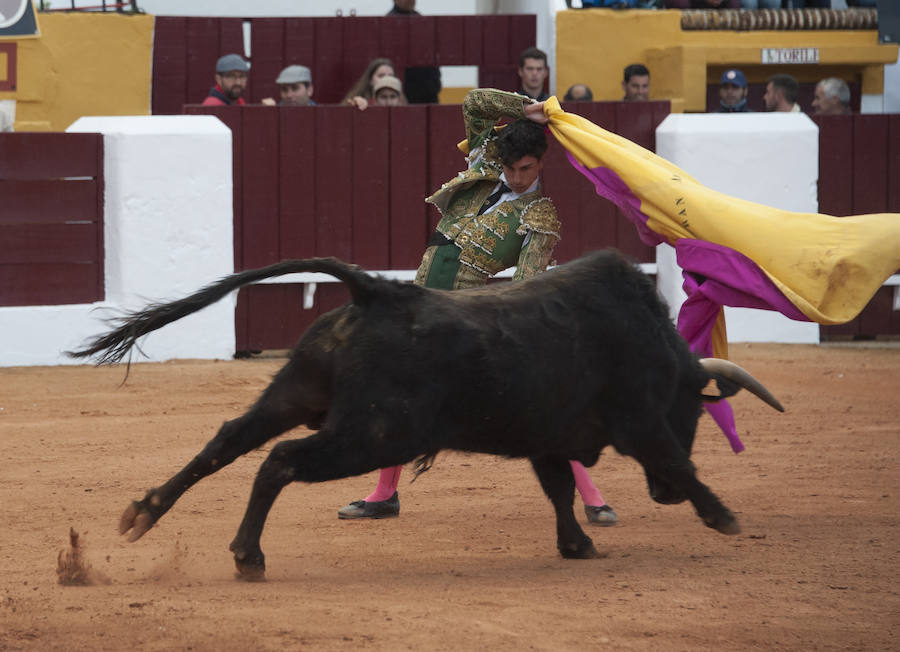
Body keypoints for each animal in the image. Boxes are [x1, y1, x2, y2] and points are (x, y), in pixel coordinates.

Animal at [70, 251, 780, 580]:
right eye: (693, 411)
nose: (661, 500)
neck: (654, 342)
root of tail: (376, 292)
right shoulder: (640, 422)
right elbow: (678, 462)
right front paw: (723, 517)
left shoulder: (548, 440)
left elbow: (557, 489)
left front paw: (577, 544)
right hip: (373, 433)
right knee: (280, 460)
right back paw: (248, 555)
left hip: (296, 394)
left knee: (229, 440)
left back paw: (142, 513)